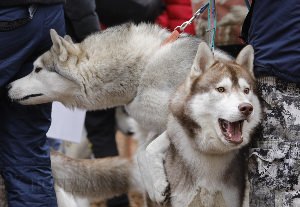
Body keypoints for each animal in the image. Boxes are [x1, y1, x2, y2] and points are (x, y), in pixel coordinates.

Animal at [7, 23, 260, 205]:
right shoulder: (155, 127)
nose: (8, 86)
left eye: (37, 69)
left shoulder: (179, 122)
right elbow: (140, 154)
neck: (142, 70)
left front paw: (156, 185)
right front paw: (155, 187)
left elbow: (148, 150)